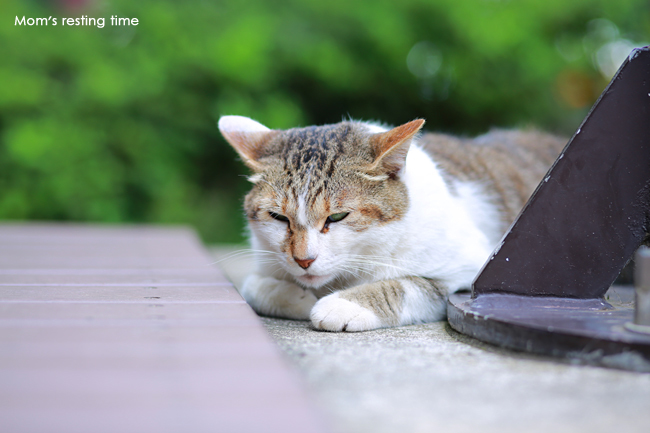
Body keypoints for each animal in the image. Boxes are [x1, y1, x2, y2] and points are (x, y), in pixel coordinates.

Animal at [218, 115, 560, 330]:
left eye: (337, 216)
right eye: (278, 217)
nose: (304, 260)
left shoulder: (469, 271)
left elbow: (409, 285)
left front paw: (341, 304)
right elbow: (253, 286)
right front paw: (299, 299)